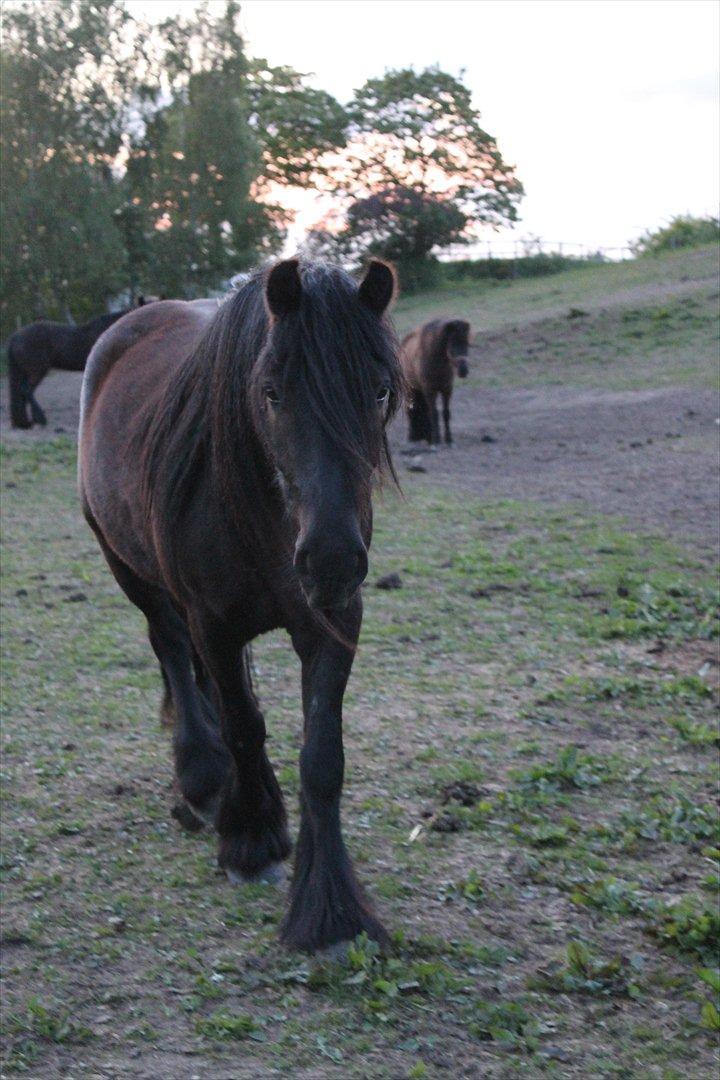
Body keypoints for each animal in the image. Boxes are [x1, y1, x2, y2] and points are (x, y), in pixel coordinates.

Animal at [78, 259, 402, 954]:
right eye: (273, 392)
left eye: (381, 391)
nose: (331, 560)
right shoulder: (216, 624)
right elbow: (245, 725)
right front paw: (252, 840)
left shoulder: (333, 622)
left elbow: (322, 756)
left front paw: (331, 911)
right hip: (128, 568)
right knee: (172, 652)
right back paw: (203, 780)